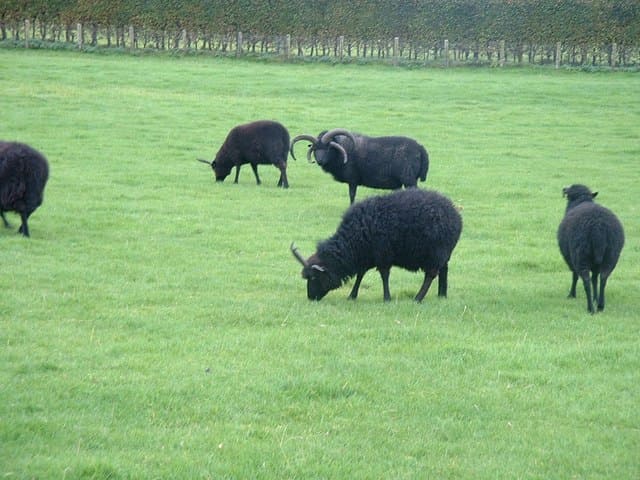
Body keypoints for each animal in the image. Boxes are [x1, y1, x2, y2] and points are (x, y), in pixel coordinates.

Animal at [290, 128, 430, 203]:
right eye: (315, 149)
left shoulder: (353, 179)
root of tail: (421, 148)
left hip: (409, 179)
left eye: (328, 148)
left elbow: (352, 195)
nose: (319, 161)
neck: (342, 151)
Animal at [292, 189, 462, 302]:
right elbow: (360, 275)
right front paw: (352, 296)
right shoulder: (367, 256)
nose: (311, 298)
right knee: (444, 270)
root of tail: (456, 216)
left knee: (430, 275)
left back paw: (418, 298)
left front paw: (387, 298)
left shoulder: (383, 255)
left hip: (435, 252)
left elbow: (384, 276)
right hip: (443, 254)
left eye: (314, 277)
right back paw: (442, 294)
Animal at [556, 185, 624, 316]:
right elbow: (595, 280)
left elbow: (575, 276)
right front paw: (595, 297)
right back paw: (600, 305)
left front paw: (572, 294)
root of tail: (598, 228)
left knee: (586, 280)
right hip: (610, 256)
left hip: (581, 255)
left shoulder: (571, 259)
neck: (581, 201)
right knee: (603, 278)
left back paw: (590, 308)